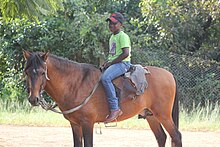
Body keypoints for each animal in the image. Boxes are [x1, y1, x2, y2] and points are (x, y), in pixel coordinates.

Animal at [23, 50, 182, 147]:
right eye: (27, 72)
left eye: (42, 72)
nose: (33, 99)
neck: (76, 84)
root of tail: (170, 74)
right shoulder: (75, 124)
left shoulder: (87, 123)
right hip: (151, 116)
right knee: (161, 137)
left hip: (163, 115)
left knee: (176, 136)